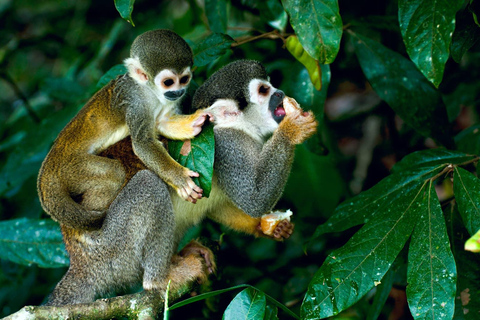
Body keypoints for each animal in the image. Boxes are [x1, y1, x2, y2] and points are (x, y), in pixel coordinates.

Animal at [38, 29, 208, 230]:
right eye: (168, 82)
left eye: (184, 80)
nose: (178, 92)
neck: (149, 91)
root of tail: (48, 169)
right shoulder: (135, 102)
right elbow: (143, 143)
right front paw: (179, 178)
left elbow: (161, 122)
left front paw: (193, 122)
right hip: (71, 169)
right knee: (114, 173)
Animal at [44, 58, 316, 306]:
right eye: (263, 90)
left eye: (270, 85)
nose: (280, 93)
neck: (240, 127)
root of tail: (80, 264)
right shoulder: (228, 147)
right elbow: (253, 199)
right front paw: (292, 129)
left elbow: (220, 206)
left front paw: (267, 226)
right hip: (112, 251)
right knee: (148, 185)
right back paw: (159, 279)